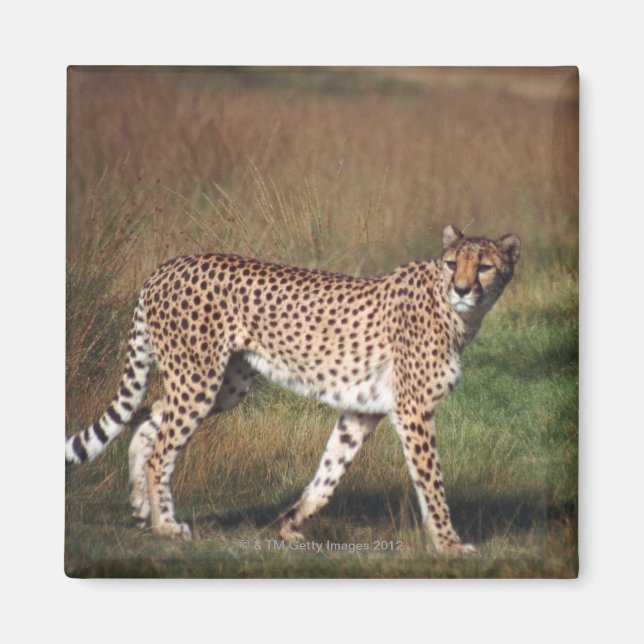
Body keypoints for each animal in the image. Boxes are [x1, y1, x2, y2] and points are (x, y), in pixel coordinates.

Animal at [65, 224, 520, 554]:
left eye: (483, 266)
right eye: (452, 264)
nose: (462, 289)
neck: (457, 314)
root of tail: (166, 266)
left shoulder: (363, 410)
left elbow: (329, 473)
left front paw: (290, 524)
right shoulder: (413, 410)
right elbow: (432, 482)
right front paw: (449, 544)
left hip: (223, 385)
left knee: (147, 418)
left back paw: (140, 506)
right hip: (199, 379)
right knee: (162, 448)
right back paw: (165, 525)